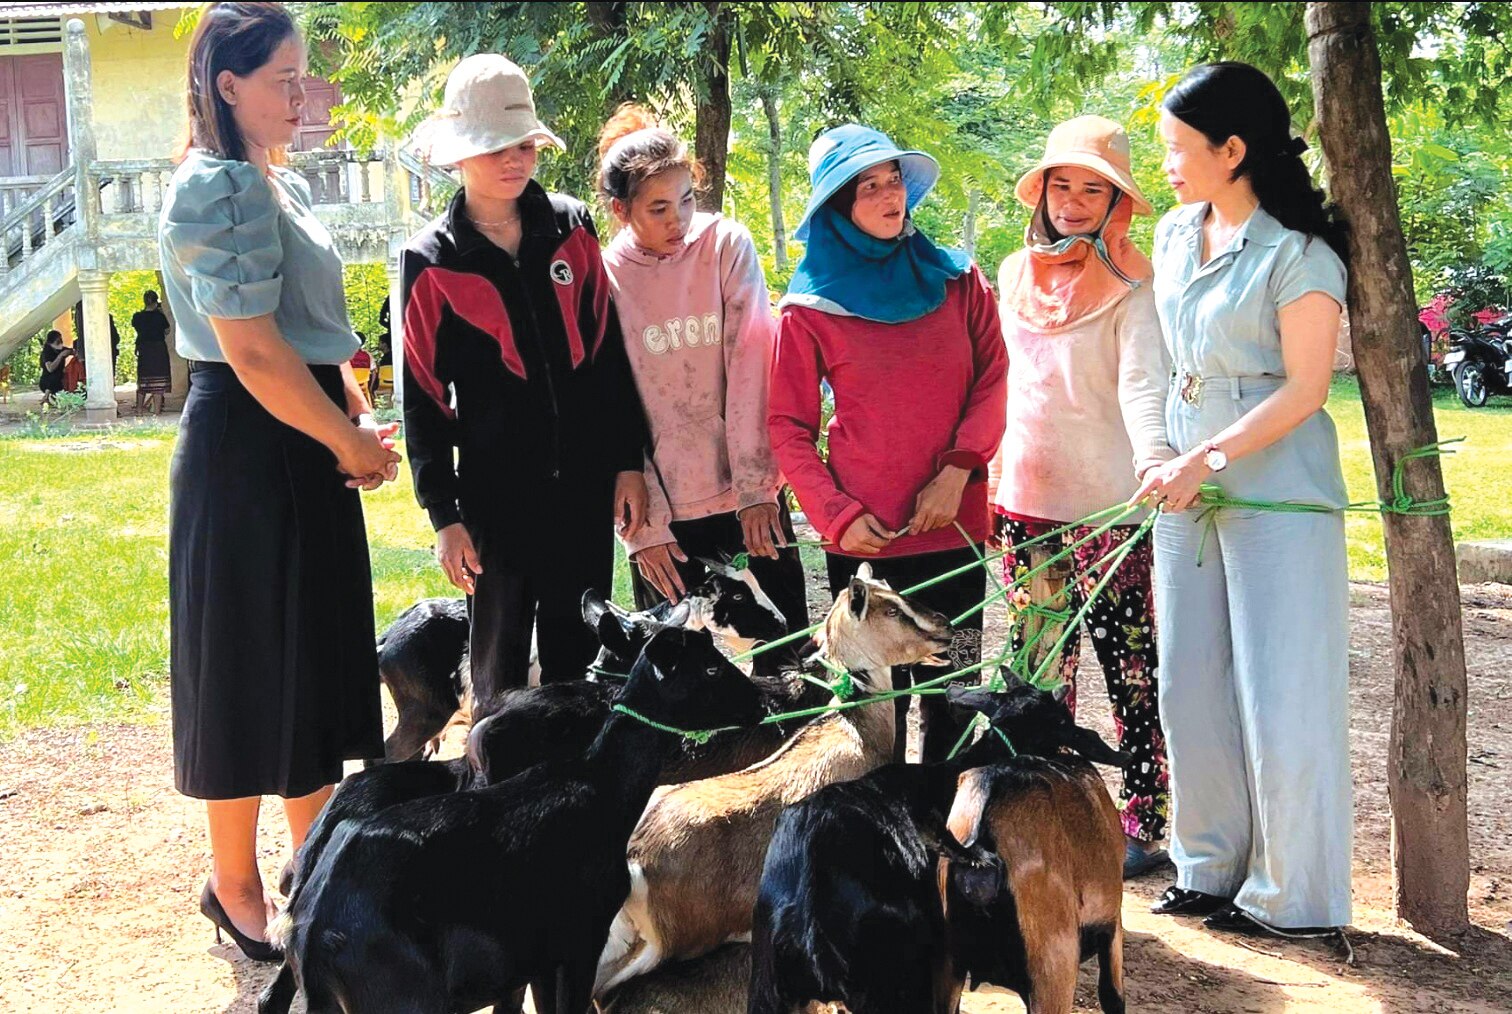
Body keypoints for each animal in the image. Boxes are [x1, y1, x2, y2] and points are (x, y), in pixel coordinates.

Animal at [258, 625, 768, 1014]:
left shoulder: (538, 957)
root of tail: (315, 927)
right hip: (401, 997)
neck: (601, 784)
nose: (759, 704)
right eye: (710, 668)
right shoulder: (580, 939)